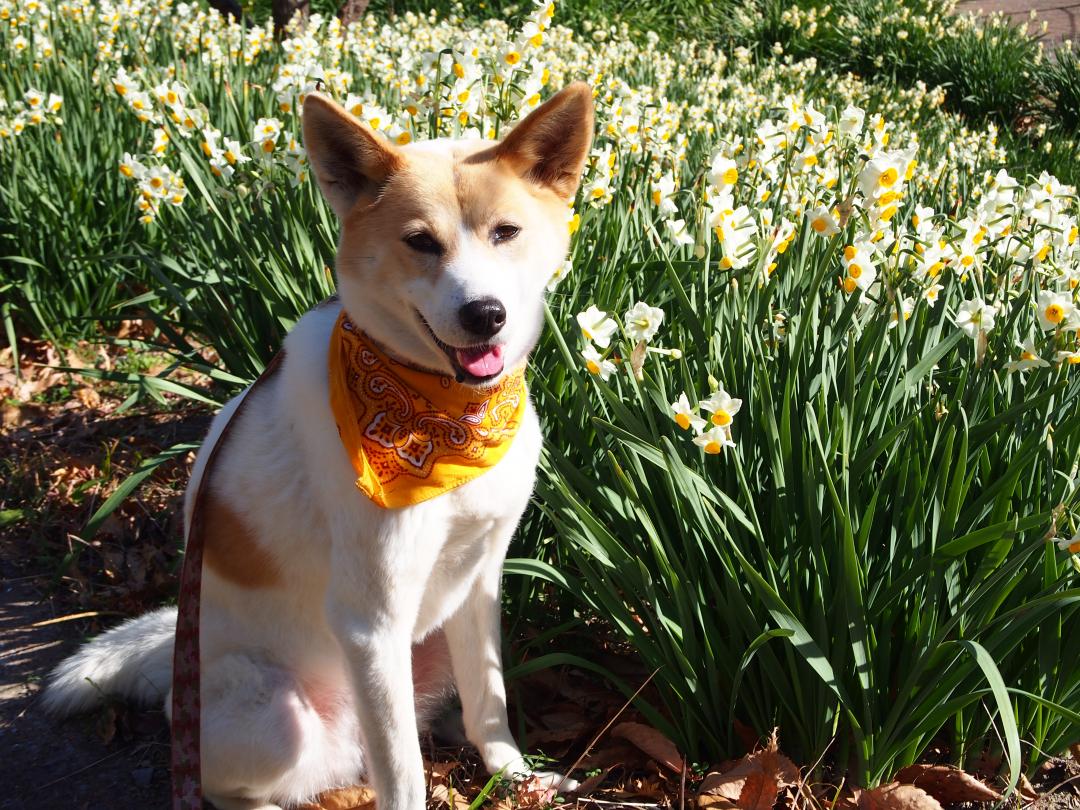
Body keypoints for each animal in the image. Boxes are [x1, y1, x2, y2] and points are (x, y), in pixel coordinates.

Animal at [42, 81, 596, 810]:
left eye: (506, 232)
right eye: (420, 242)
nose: (485, 315)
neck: (444, 414)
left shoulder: (479, 581)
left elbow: (491, 703)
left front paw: (514, 774)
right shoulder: (370, 624)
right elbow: (404, 778)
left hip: (431, 636)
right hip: (279, 718)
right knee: (252, 786)